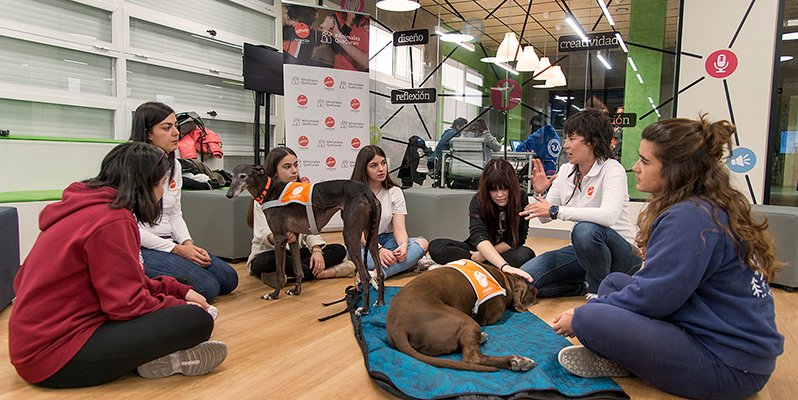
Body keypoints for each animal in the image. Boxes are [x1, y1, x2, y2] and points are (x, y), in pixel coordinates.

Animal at [386, 260, 540, 372]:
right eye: (529, 286)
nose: (537, 290)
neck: (504, 278)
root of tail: (397, 326)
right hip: (467, 321)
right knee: (473, 358)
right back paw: (517, 361)